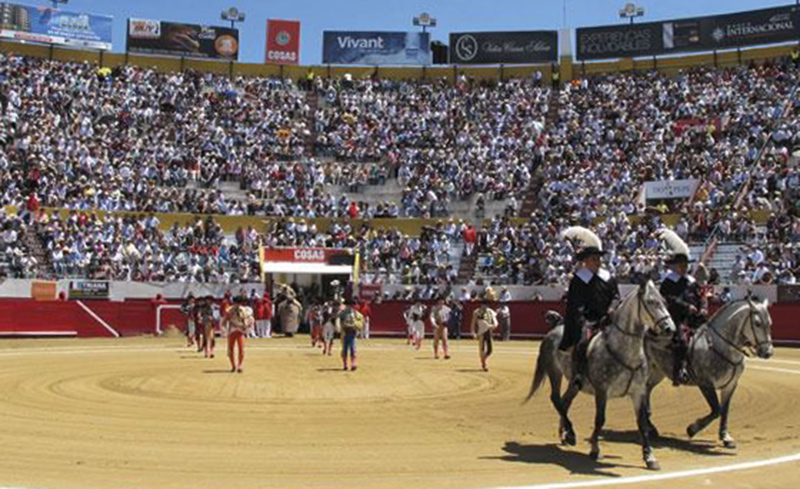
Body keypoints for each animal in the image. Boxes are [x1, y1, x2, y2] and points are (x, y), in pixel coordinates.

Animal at [524, 280, 676, 470]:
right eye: (651, 302)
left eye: (664, 301)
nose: (670, 328)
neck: (624, 351)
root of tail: (555, 329)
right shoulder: (602, 391)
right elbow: (600, 419)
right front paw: (595, 450)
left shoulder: (638, 392)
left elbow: (642, 423)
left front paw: (650, 458)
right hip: (554, 372)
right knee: (556, 399)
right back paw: (570, 433)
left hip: (574, 383)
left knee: (565, 402)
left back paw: (565, 434)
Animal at [644, 296, 776, 448]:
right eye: (757, 323)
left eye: (770, 323)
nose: (768, 352)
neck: (721, 345)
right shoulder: (705, 384)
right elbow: (716, 410)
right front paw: (692, 429)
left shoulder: (730, 385)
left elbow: (724, 410)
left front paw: (725, 437)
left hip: (657, 372)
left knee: (647, 390)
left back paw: (651, 427)